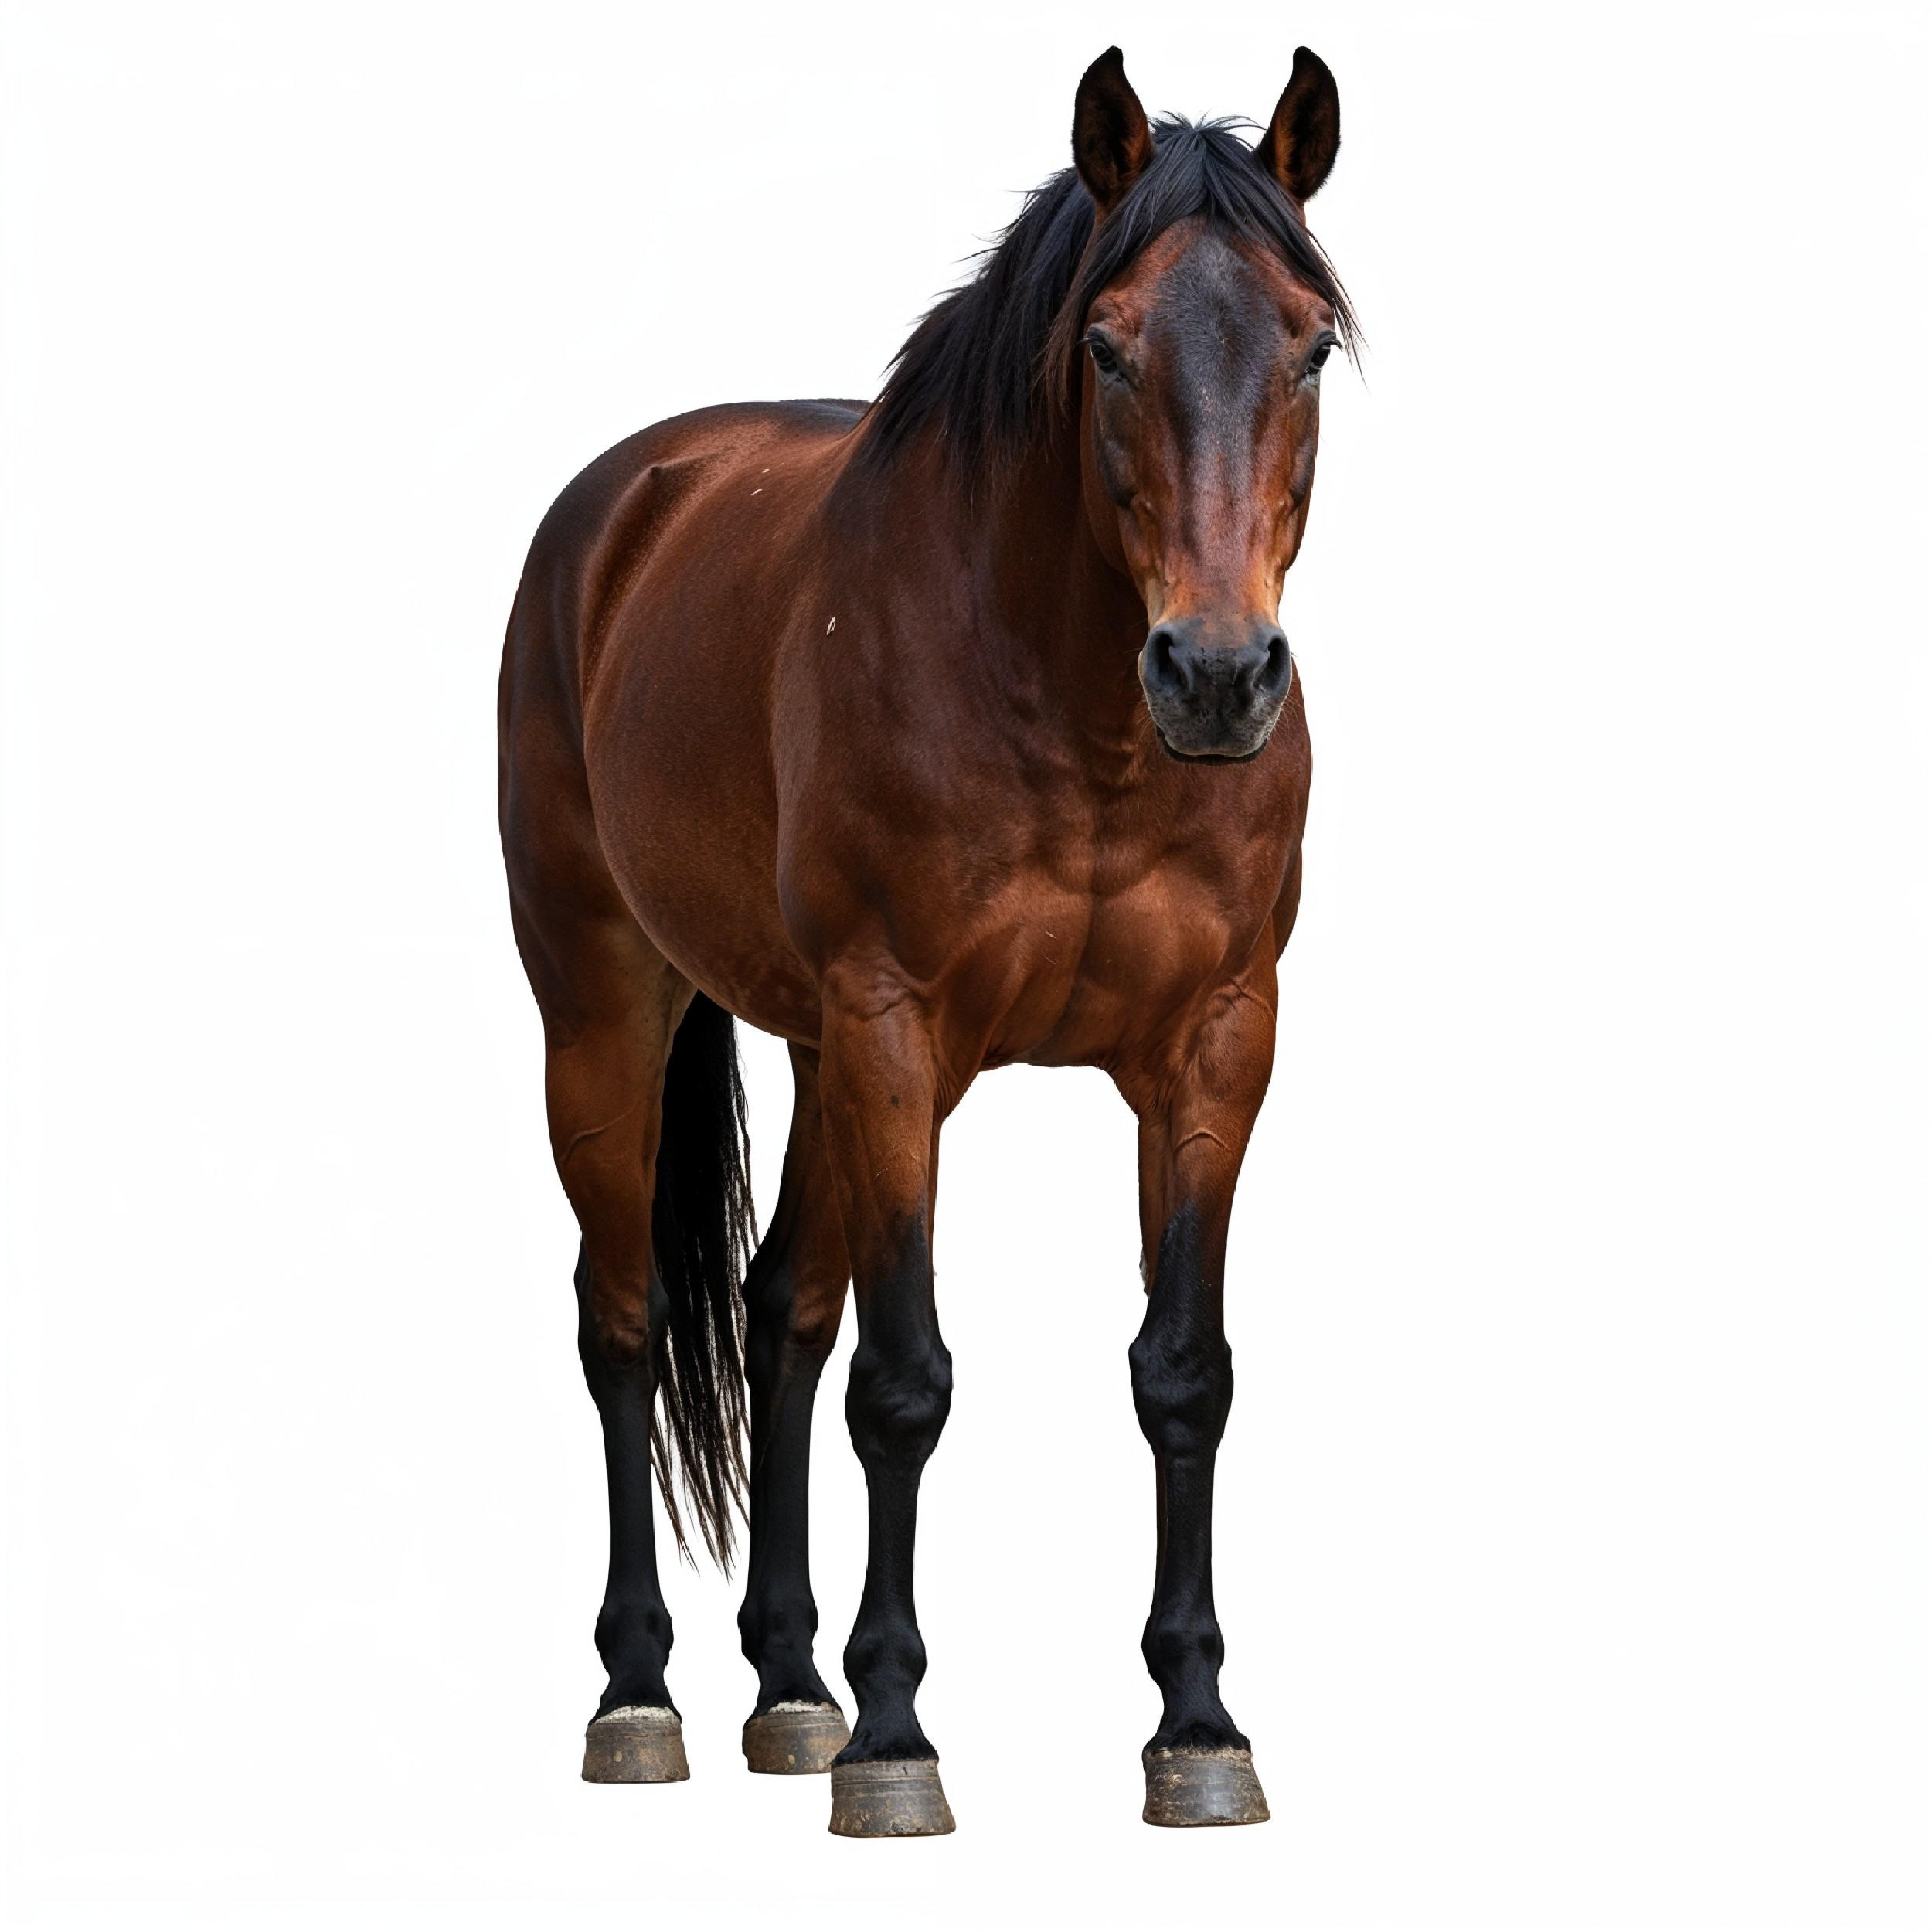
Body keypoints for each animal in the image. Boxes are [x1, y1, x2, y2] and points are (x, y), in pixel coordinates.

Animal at [498, 44, 1355, 1836]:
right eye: (1104, 345)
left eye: (1308, 343)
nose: (1216, 675)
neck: (1072, 706)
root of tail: (623, 505)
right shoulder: (901, 1032)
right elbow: (905, 1383)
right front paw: (898, 1744)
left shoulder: (1213, 1046)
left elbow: (1181, 1371)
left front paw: (1197, 1728)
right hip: (603, 1009)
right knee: (624, 1322)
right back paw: (640, 1698)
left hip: (816, 1051)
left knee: (775, 1314)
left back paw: (787, 1688)